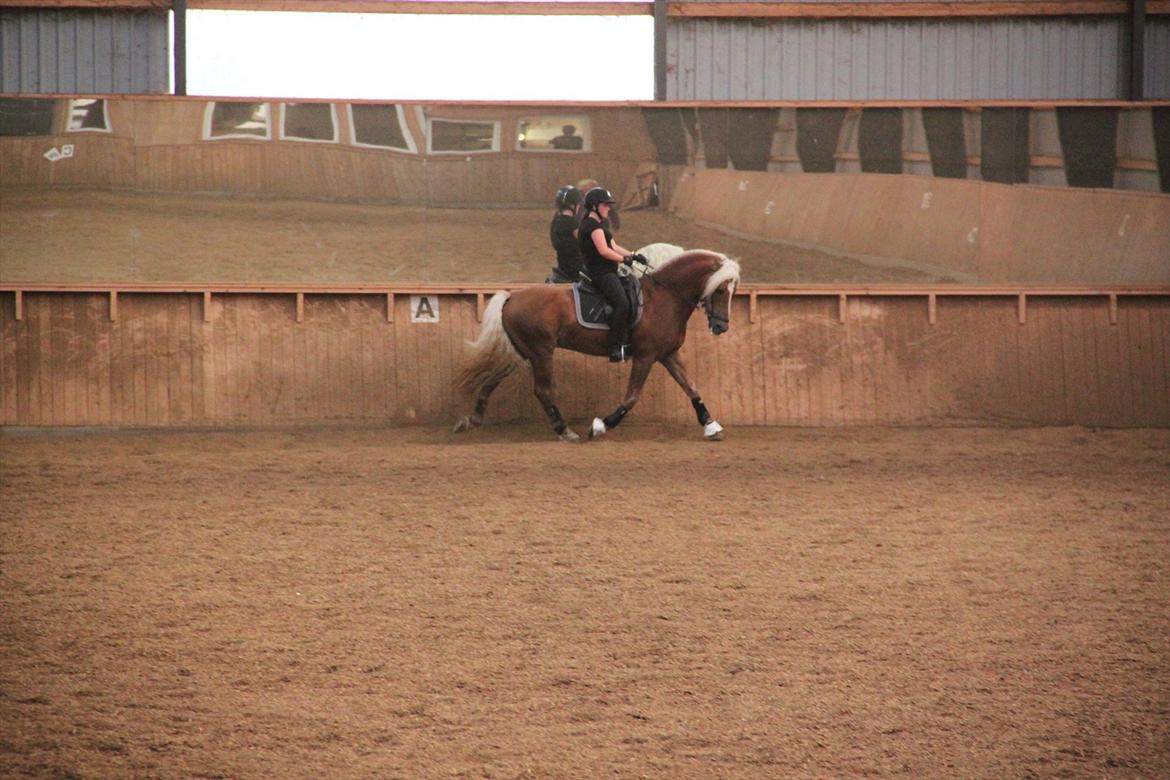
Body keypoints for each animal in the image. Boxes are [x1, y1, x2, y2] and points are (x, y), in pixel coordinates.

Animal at [453, 251, 739, 442]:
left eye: (733, 291)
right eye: (721, 290)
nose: (721, 327)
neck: (665, 297)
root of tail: (511, 297)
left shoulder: (668, 354)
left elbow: (691, 387)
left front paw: (711, 425)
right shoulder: (645, 356)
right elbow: (632, 397)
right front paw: (601, 425)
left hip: (522, 352)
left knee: (492, 379)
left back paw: (472, 419)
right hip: (540, 352)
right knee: (542, 390)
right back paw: (565, 430)